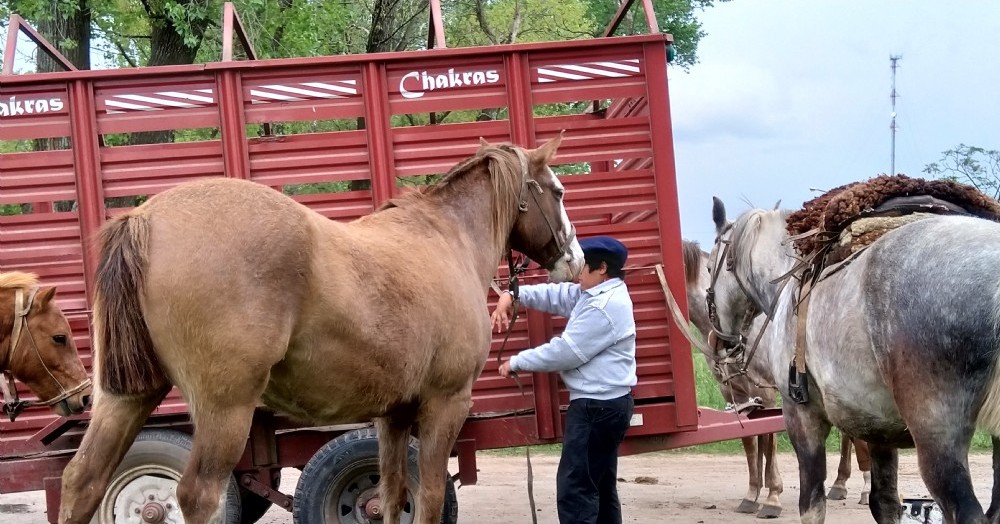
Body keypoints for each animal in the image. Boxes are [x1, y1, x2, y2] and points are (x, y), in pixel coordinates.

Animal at [58, 136, 584, 524]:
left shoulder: (393, 416)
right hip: (224, 410)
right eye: (557, 192)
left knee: (82, 481)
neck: (445, 239)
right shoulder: (445, 403)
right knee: (196, 495)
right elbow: (431, 497)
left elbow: (391, 496)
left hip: (125, 399)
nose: (575, 261)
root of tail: (143, 219)